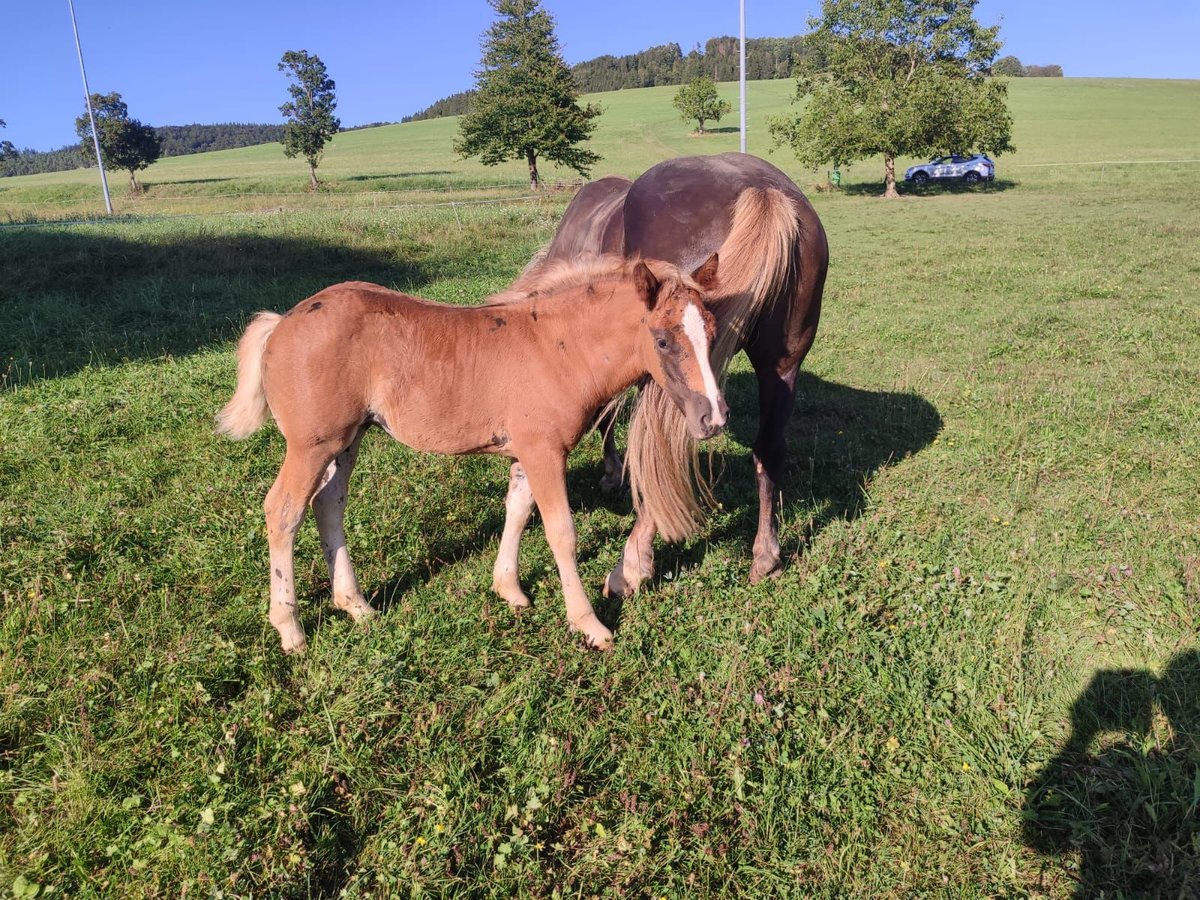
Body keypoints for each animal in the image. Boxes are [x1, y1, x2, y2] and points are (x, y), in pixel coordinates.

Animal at [525, 153, 825, 592]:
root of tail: (763, 189)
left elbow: (607, 416)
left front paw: (612, 473)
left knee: (662, 451)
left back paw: (632, 565)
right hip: (781, 367)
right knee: (769, 449)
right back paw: (766, 557)